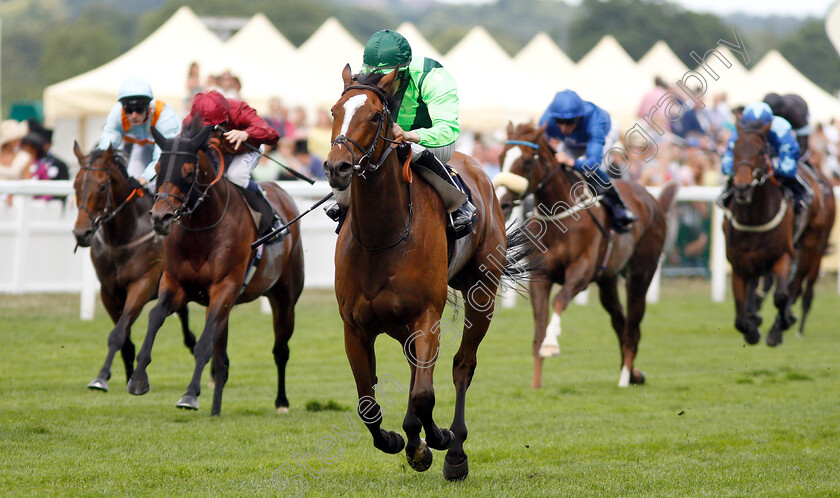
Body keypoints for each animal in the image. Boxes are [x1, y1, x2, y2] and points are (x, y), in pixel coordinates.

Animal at [72, 144, 195, 392]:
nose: (82, 233)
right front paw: (128, 375)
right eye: (75, 184)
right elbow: (125, 339)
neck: (124, 236)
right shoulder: (109, 291)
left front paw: (101, 377)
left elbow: (118, 334)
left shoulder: (142, 285)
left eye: (102, 186)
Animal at [124, 121, 306, 416]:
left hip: (284, 298)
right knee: (222, 359)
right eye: (158, 168)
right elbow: (154, 317)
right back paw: (216, 409)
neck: (202, 230)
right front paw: (138, 378)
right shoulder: (176, 285)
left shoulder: (224, 287)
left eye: (188, 172)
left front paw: (189, 395)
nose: (161, 217)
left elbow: (204, 344)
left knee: (281, 350)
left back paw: (281, 402)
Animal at [324, 64, 528, 480]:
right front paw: (399, 440)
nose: (337, 167)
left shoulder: (427, 316)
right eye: (335, 110)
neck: (382, 236)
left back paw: (455, 453)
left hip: (482, 293)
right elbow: (367, 402)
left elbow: (423, 393)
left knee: (462, 366)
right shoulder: (355, 326)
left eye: (375, 116)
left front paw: (434, 440)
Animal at [492, 120, 676, 390]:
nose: (503, 202)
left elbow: (560, 301)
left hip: (640, 274)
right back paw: (633, 374)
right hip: (607, 282)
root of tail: (653, 202)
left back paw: (625, 378)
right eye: (501, 157)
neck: (560, 220)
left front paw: (551, 344)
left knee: (633, 324)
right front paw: (536, 384)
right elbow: (538, 328)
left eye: (526, 161)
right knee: (619, 322)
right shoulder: (541, 277)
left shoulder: (581, 271)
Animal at [720, 123, 832, 346]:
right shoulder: (738, 264)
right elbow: (740, 318)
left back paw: (785, 324)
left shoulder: (783, 256)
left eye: (760, 151)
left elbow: (781, 295)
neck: (754, 217)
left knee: (797, 286)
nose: (742, 187)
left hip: (813, 245)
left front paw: (781, 325)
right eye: (734, 150)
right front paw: (752, 328)